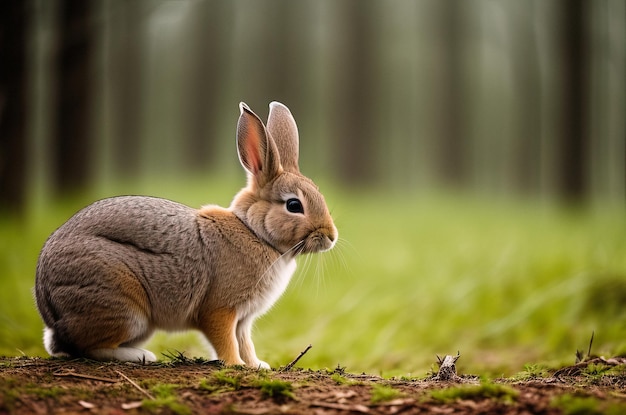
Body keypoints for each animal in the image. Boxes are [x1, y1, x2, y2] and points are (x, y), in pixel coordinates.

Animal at [34, 102, 336, 368]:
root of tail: (47, 306)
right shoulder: (220, 310)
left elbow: (244, 341)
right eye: (294, 205)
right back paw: (142, 356)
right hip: (124, 305)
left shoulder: (243, 319)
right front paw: (236, 364)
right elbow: (226, 340)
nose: (331, 236)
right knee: (85, 346)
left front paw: (257, 365)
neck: (255, 232)